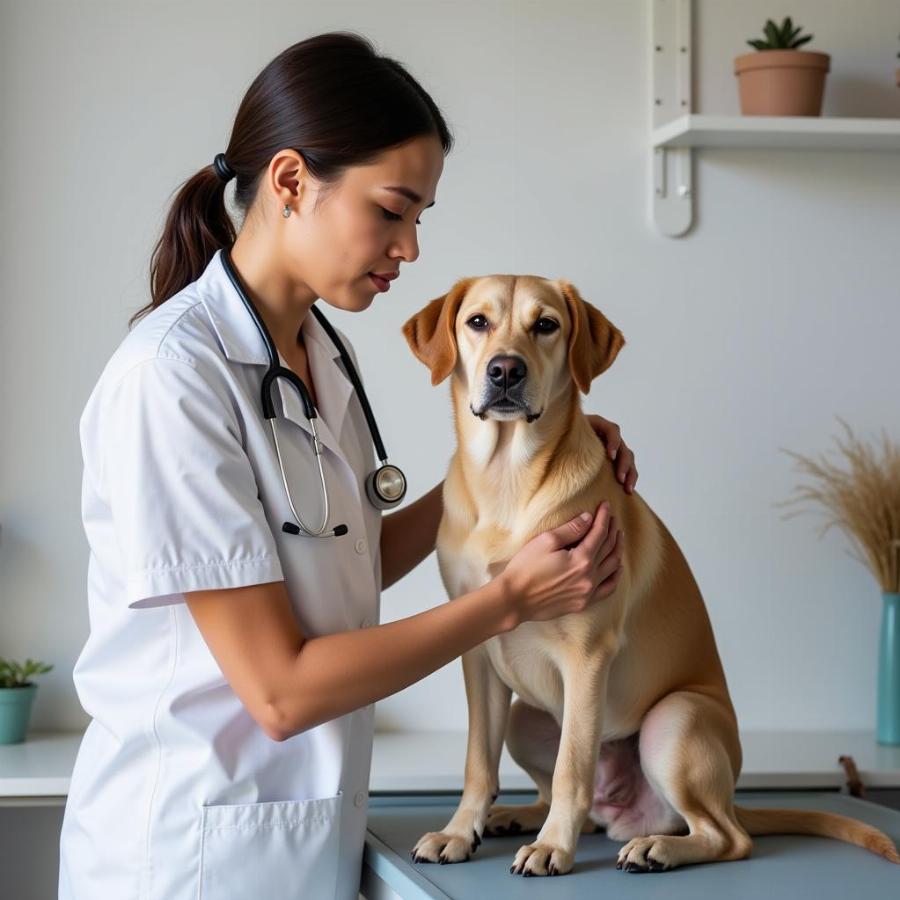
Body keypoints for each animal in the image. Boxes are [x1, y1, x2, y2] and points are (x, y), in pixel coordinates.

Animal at [402, 276, 900, 880]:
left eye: (546, 325)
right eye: (477, 322)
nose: (504, 371)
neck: (507, 482)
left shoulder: (588, 654)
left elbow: (572, 768)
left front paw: (552, 849)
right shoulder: (477, 653)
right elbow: (478, 761)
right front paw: (459, 832)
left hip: (674, 720)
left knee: (727, 836)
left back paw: (652, 847)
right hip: (526, 717)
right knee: (582, 801)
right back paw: (523, 816)